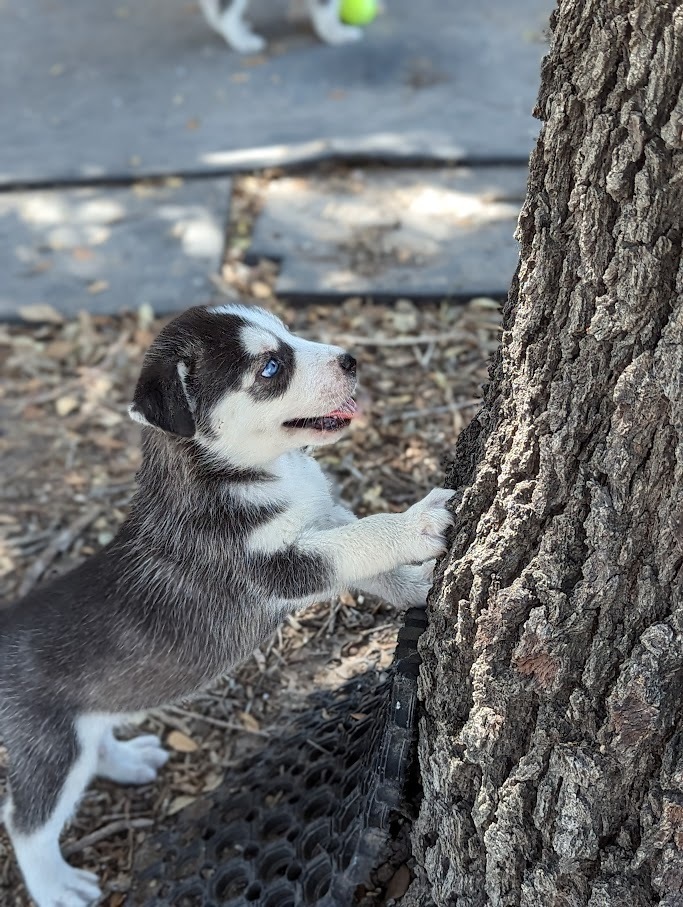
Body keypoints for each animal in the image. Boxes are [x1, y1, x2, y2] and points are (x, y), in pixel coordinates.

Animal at [1, 306, 454, 907]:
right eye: (271, 368)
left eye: (287, 331)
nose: (351, 359)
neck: (260, 471)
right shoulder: (276, 567)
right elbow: (362, 540)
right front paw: (414, 524)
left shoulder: (324, 517)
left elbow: (368, 558)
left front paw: (414, 588)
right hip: (49, 749)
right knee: (25, 821)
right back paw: (56, 886)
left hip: (85, 722)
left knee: (95, 744)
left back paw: (129, 761)